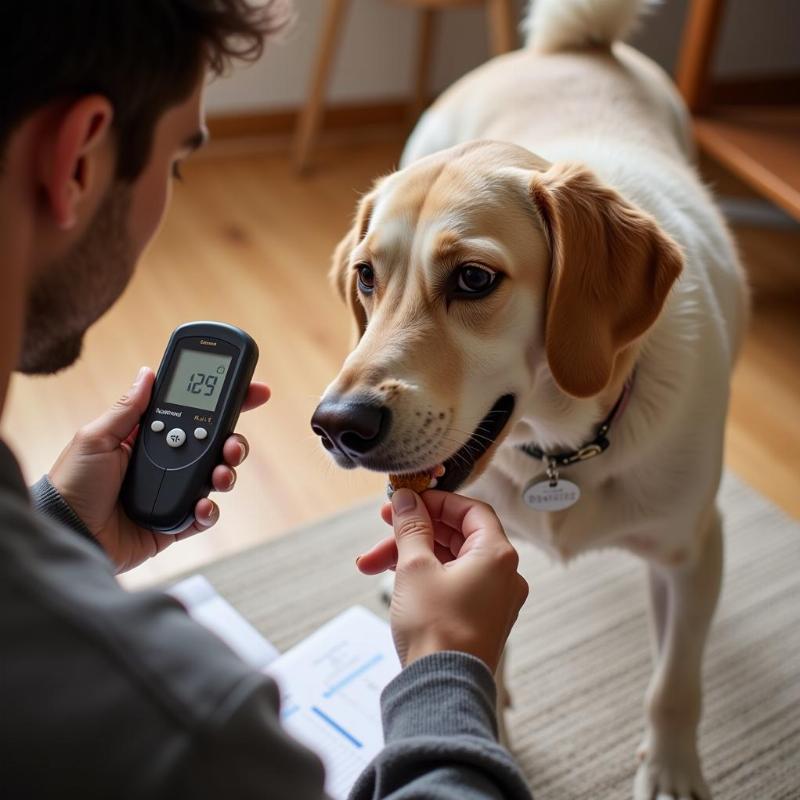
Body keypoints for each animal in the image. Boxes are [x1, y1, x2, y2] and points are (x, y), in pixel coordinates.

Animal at [310, 3, 748, 796]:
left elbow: (674, 684)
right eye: (365, 276)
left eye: (474, 279)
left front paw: (671, 767)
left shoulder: (695, 549)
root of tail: (578, 47)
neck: (565, 443)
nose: (336, 425)